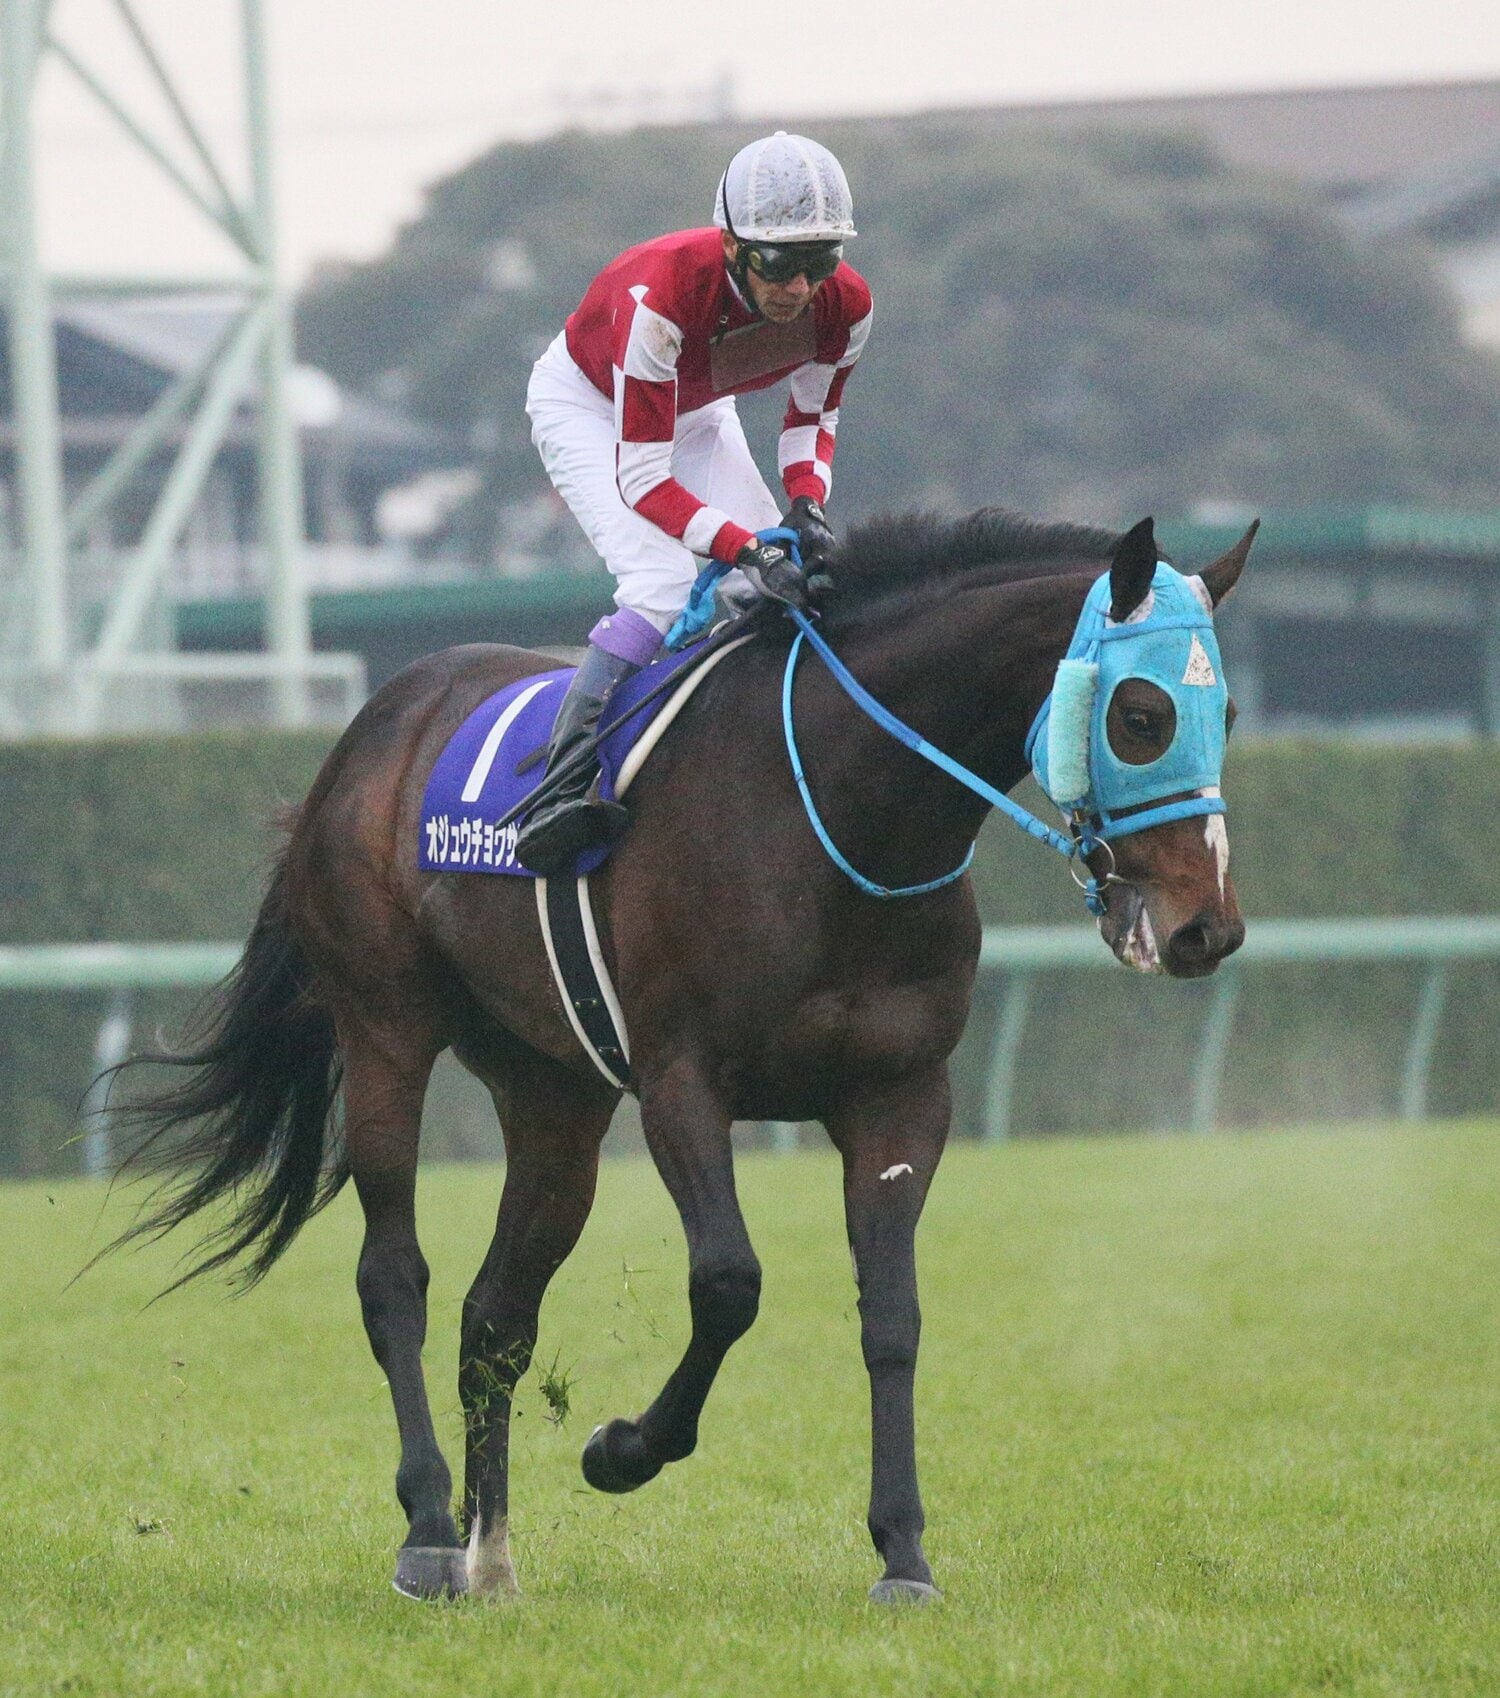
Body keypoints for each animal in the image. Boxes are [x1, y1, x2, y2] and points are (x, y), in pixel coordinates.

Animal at [109, 507, 1255, 1604]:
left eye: (1230, 716)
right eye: (1143, 715)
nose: (1207, 929)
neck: (842, 810)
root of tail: (373, 728)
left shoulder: (900, 1094)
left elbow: (892, 1315)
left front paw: (903, 1553)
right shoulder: (682, 1082)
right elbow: (729, 1284)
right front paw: (622, 1450)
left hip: (553, 1092)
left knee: (494, 1318)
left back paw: (490, 1557)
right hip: (385, 1025)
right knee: (396, 1278)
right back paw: (433, 1532)